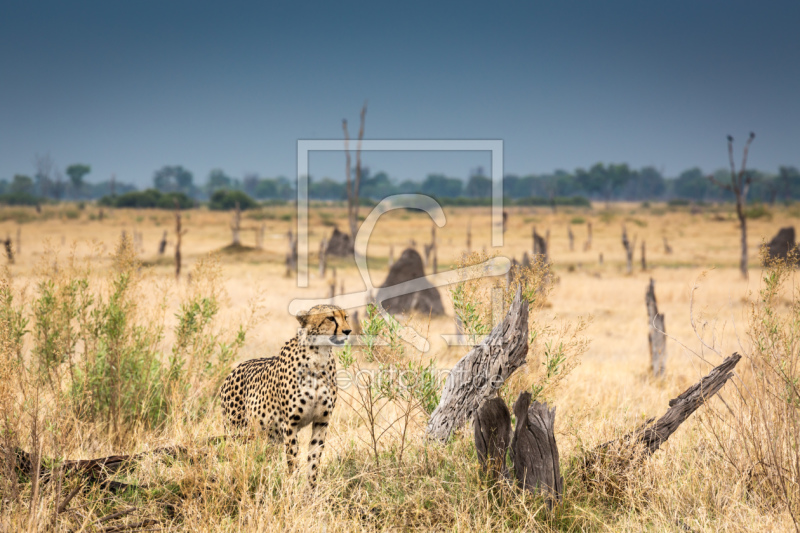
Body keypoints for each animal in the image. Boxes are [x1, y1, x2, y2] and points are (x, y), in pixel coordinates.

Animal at [222, 304, 354, 486]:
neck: (319, 357)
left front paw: (310, 490)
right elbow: (293, 460)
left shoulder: (321, 422)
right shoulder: (290, 424)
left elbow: (314, 461)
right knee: (232, 455)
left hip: (267, 436)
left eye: (345, 317)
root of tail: (234, 370)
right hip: (236, 430)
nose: (348, 331)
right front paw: (293, 487)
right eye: (330, 318)